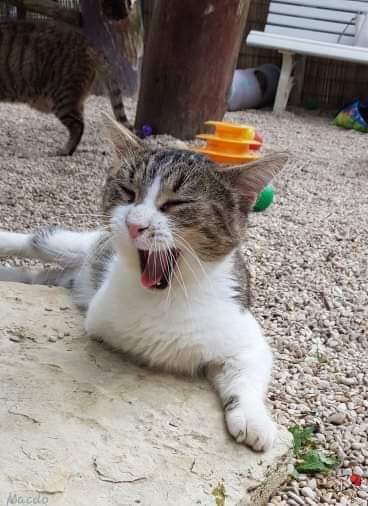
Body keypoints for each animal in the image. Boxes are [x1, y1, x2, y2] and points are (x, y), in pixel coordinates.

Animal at [0, 116, 288, 452]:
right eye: (127, 191)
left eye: (177, 202)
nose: (134, 224)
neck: (170, 294)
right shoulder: (104, 317)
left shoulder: (242, 330)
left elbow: (248, 368)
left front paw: (253, 418)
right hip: (75, 245)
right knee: (36, 242)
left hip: (65, 275)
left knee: (39, 276)